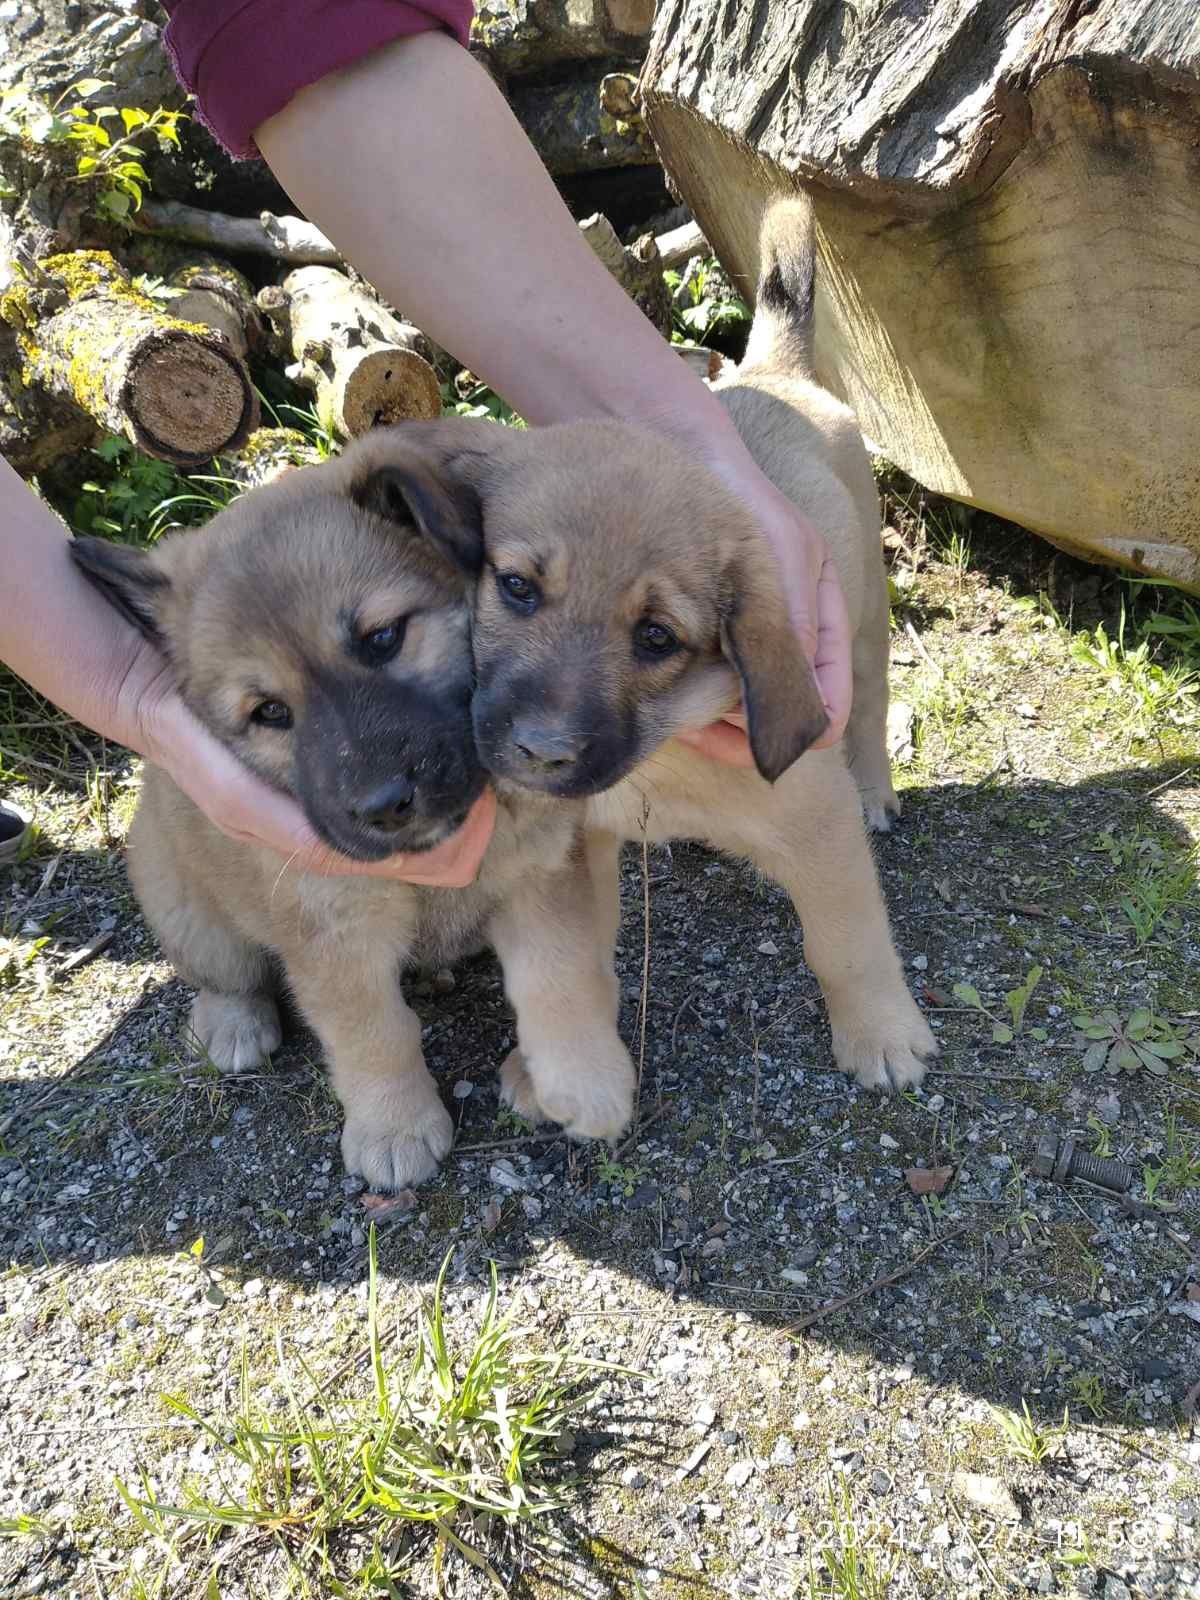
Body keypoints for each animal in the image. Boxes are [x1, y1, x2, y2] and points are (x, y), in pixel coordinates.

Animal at [71, 438, 640, 1190]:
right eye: (270, 712)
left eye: (383, 638)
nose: (384, 806)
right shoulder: (333, 933)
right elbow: (372, 1034)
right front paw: (394, 1128)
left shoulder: (543, 877)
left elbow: (560, 977)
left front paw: (583, 1079)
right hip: (183, 903)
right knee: (224, 974)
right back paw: (232, 1023)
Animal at [366, 196, 940, 1139]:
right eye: (517, 587)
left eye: (658, 638)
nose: (538, 754)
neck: (663, 760)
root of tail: (772, 373)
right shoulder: (577, 853)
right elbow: (581, 962)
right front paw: (554, 1070)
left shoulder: (820, 834)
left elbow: (848, 944)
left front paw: (883, 1035)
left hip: (863, 623)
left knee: (867, 711)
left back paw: (875, 787)